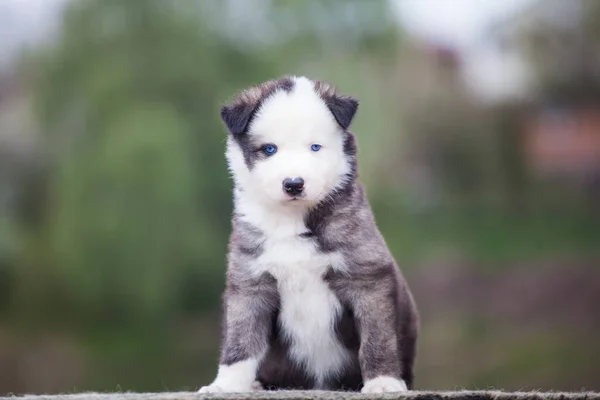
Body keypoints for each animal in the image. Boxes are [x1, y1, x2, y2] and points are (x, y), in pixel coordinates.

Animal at [199, 76, 420, 392]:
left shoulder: (368, 278)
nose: (293, 184)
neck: (292, 220)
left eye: (315, 147)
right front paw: (226, 385)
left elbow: (377, 339)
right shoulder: (250, 282)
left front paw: (383, 383)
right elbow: (240, 341)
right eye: (269, 149)